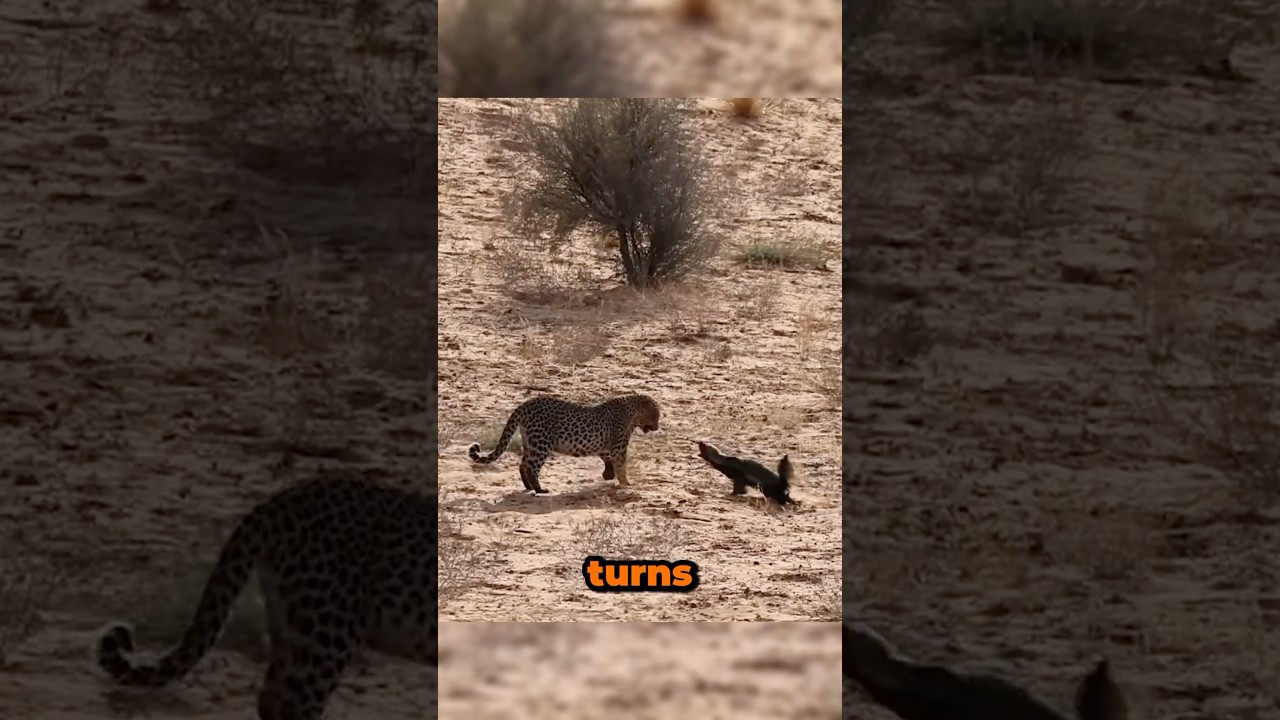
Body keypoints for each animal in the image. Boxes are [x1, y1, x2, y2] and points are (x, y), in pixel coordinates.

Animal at [467, 393, 660, 495]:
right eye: (656, 414)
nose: (657, 427)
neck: (633, 413)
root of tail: (525, 404)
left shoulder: (605, 446)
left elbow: (608, 460)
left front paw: (608, 475)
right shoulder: (619, 446)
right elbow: (621, 465)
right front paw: (625, 483)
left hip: (530, 442)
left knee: (523, 464)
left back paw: (529, 487)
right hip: (541, 444)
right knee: (531, 466)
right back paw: (540, 489)